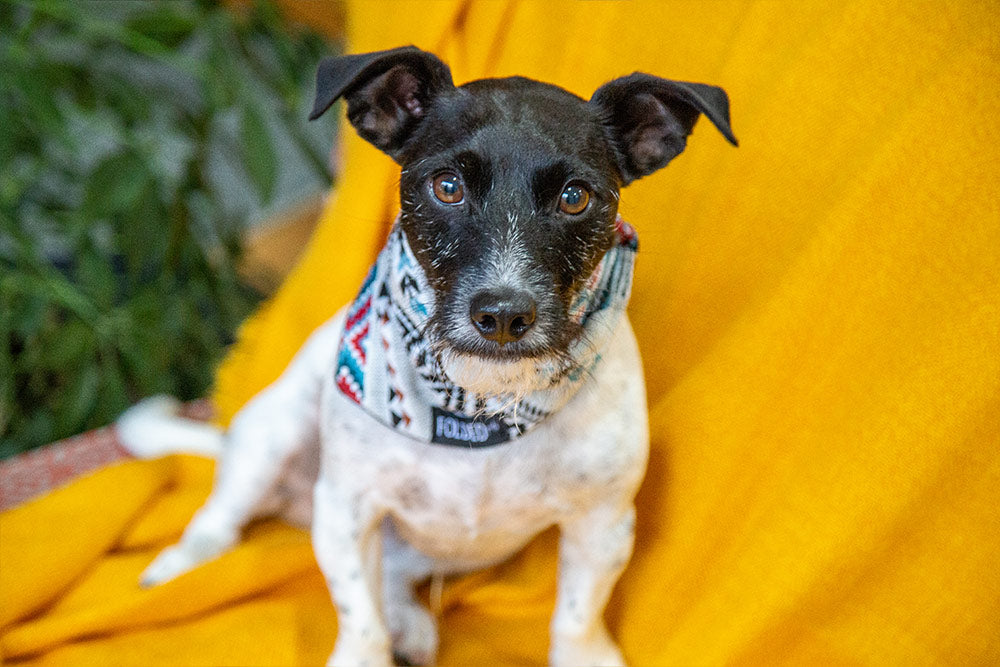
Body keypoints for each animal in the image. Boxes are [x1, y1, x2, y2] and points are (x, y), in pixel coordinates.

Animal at [121, 44, 740, 664]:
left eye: (575, 197)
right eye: (447, 187)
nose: (503, 315)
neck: (482, 407)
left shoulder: (603, 522)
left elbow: (576, 616)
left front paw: (584, 654)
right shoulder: (347, 509)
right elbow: (360, 619)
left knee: (394, 577)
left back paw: (410, 625)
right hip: (273, 435)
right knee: (219, 519)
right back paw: (178, 569)